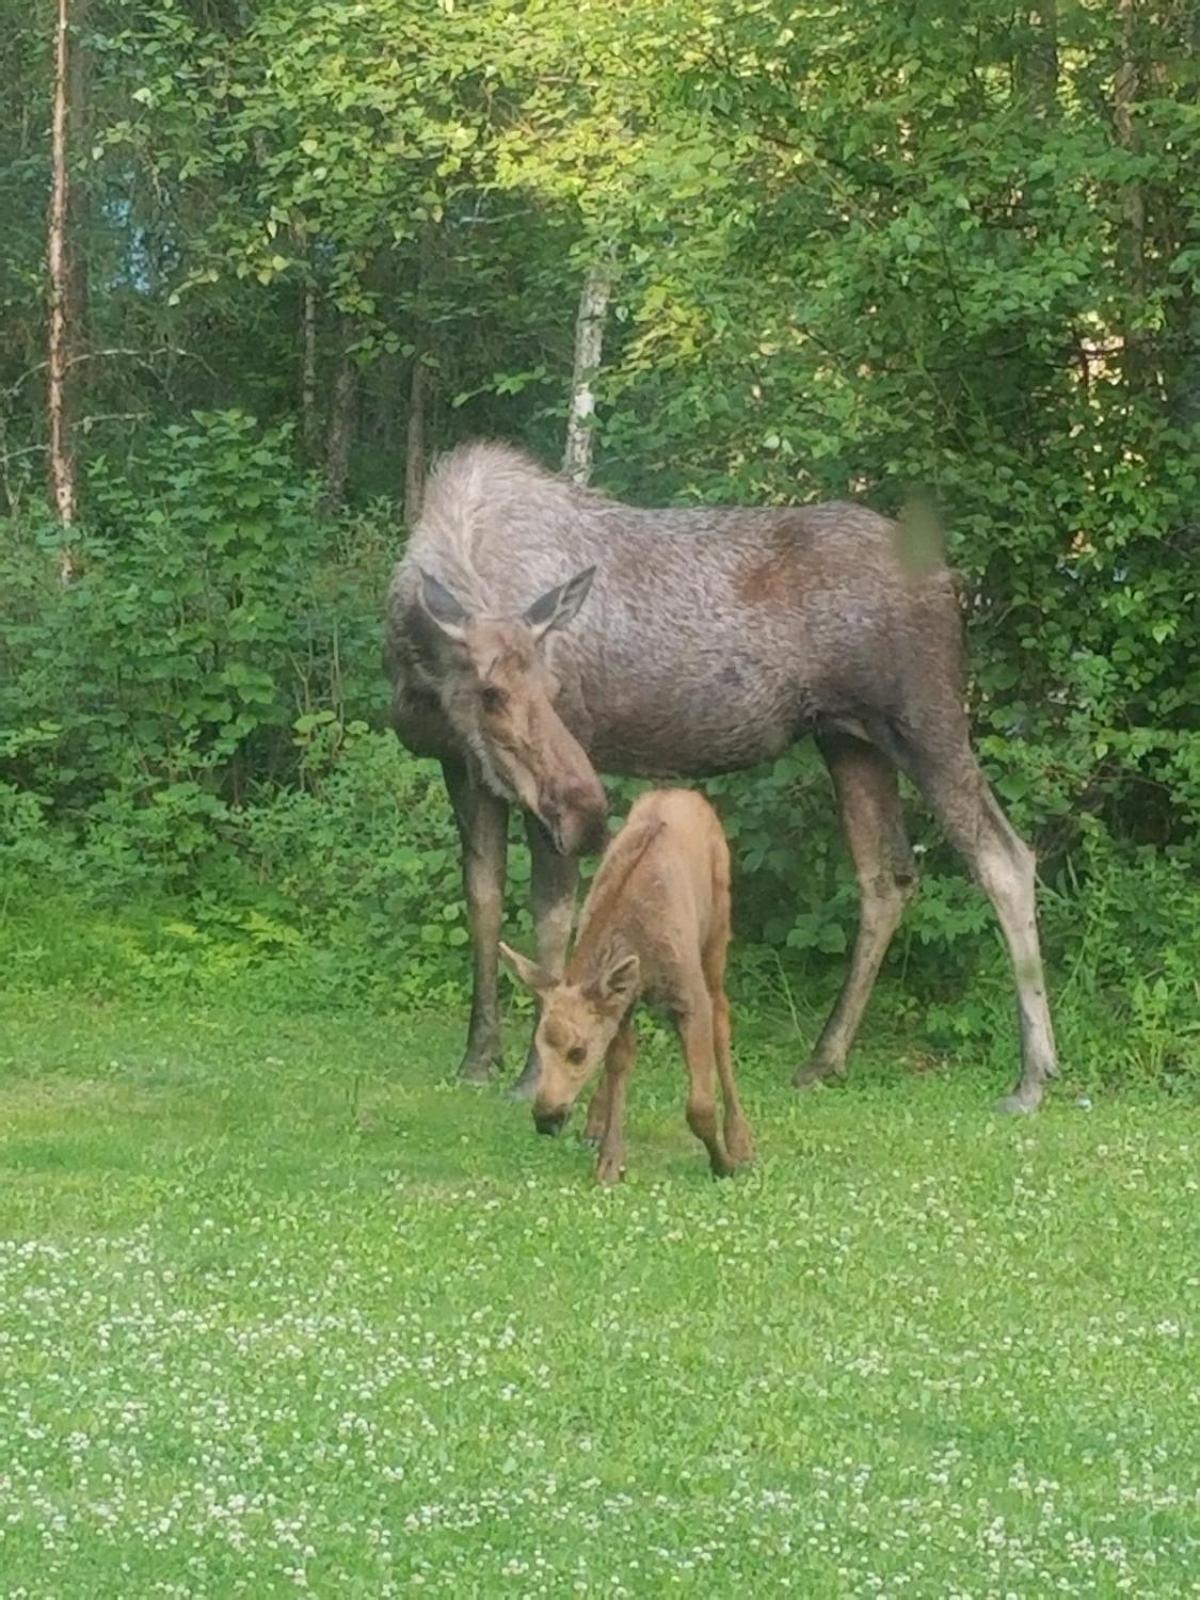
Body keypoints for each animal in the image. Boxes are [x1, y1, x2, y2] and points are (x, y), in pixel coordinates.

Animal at [387, 438, 1062, 1113]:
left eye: (557, 687)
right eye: (491, 695)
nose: (589, 814)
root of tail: (952, 580)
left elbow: (550, 919)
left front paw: (530, 1074)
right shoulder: (462, 767)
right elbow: (484, 901)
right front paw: (478, 1058)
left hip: (925, 721)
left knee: (1004, 857)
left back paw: (1032, 1075)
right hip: (849, 738)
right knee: (887, 876)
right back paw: (826, 1057)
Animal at [502, 790, 755, 1184]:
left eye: (578, 1052)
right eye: (539, 1047)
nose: (546, 1118)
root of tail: (685, 793)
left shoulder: (689, 997)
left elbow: (698, 1106)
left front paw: (723, 1163)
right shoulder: (620, 1002)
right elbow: (620, 1062)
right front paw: (610, 1160)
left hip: (716, 932)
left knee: (721, 1019)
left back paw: (741, 1140)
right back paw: (594, 1122)